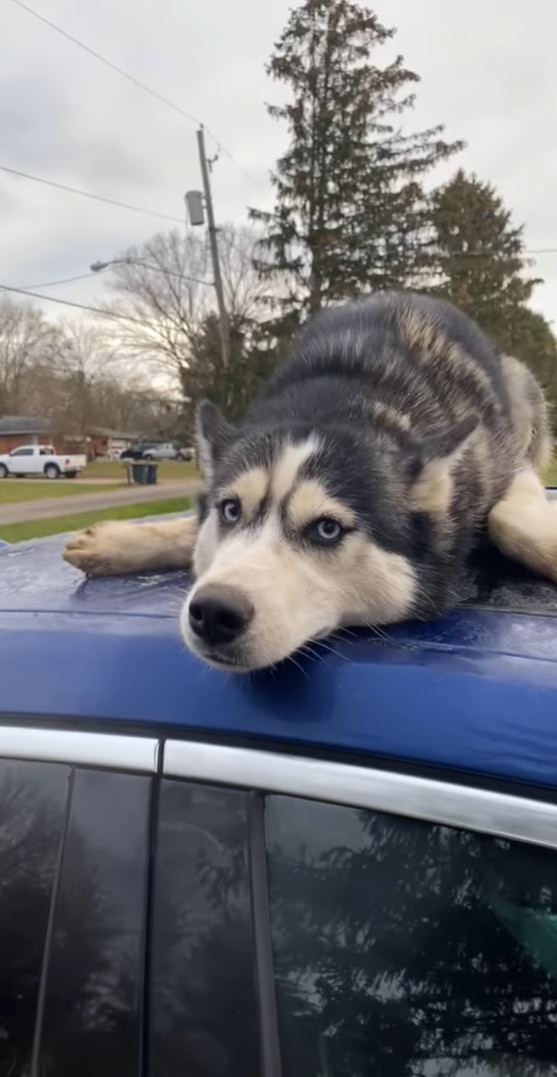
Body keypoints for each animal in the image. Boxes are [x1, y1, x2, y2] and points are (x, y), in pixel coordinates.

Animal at [63, 290, 551, 667]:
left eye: (327, 529)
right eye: (230, 510)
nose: (214, 611)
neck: (345, 400)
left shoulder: (511, 470)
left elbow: (506, 520)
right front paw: (121, 542)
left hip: (523, 386)